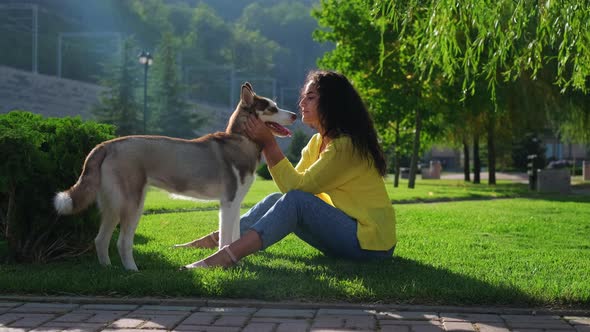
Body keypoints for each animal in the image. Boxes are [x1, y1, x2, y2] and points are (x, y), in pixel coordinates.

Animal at [55, 82, 296, 270]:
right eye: (272, 108)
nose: (294, 115)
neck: (240, 141)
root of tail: (107, 144)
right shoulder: (228, 203)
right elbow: (226, 240)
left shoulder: (235, 204)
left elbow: (235, 236)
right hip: (132, 204)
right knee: (122, 242)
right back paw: (133, 271)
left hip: (113, 205)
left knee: (100, 239)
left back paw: (108, 269)